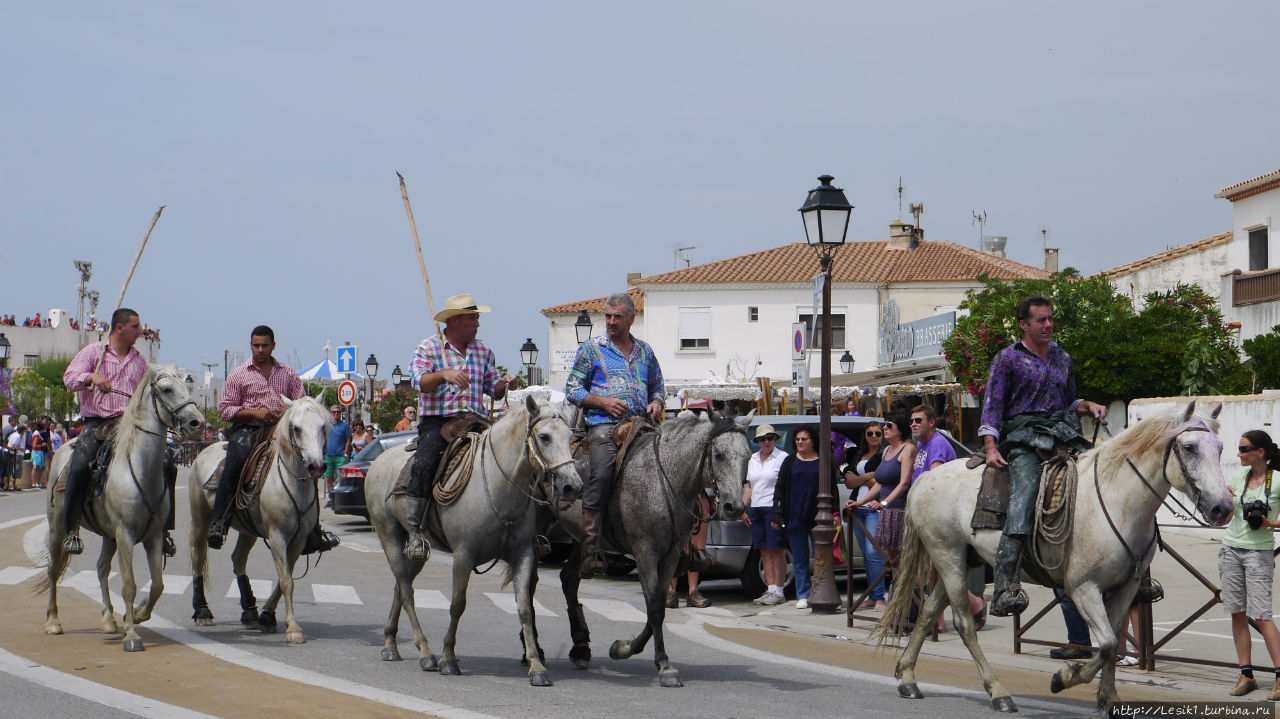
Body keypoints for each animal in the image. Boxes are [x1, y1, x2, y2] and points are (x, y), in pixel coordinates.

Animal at [40, 363, 207, 649]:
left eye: (189, 386)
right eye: (166, 389)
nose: (197, 423)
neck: (139, 469)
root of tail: (63, 450)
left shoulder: (153, 537)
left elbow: (158, 584)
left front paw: (138, 614)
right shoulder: (126, 534)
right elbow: (129, 584)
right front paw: (131, 635)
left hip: (109, 536)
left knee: (101, 568)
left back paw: (108, 618)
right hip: (58, 527)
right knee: (53, 569)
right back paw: (52, 621)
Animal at [188, 391, 332, 644]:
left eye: (322, 426)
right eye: (296, 428)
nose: (316, 466)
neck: (292, 483)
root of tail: (202, 452)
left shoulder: (299, 540)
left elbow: (286, 578)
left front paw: (267, 616)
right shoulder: (277, 536)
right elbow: (286, 580)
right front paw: (293, 629)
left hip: (248, 530)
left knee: (238, 559)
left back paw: (250, 612)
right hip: (200, 519)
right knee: (198, 558)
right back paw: (202, 611)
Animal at [363, 396, 578, 680]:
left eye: (570, 436)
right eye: (544, 437)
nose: (573, 486)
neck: (498, 486)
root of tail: (378, 461)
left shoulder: (524, 554)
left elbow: (525, 608)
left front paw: (536, 665)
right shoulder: (463, 555)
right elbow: (457, 604)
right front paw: (448, 658)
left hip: (416, 548)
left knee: (401, 585)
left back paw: (390, 643)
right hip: (390, 536)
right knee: (407, 592)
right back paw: (425, 652)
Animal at [550, 409, 747, 680]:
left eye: (748, 455)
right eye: (718, 454)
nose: (734, 507)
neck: (664, 479)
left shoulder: (672, 555)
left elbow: (660, 607)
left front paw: (623, 648)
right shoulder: (645, 552)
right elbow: (653, 607)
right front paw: (663, 664)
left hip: (580, 541)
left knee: (569, 580)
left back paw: (581, 649)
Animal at [880, 399, 1228, 706]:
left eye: (1221, 448)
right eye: (1189, 447)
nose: (1222, 508)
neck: (1116, 500)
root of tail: (925, 477)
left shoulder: (1126, 589)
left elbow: (1114, 642)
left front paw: (1109, 698)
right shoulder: (1084, 588)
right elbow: (1106, 645)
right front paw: (1064, 678)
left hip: (965, 560)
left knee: (928, 611)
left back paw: (908, 677)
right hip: (947, 555)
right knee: (964, 623)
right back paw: (998, 692)